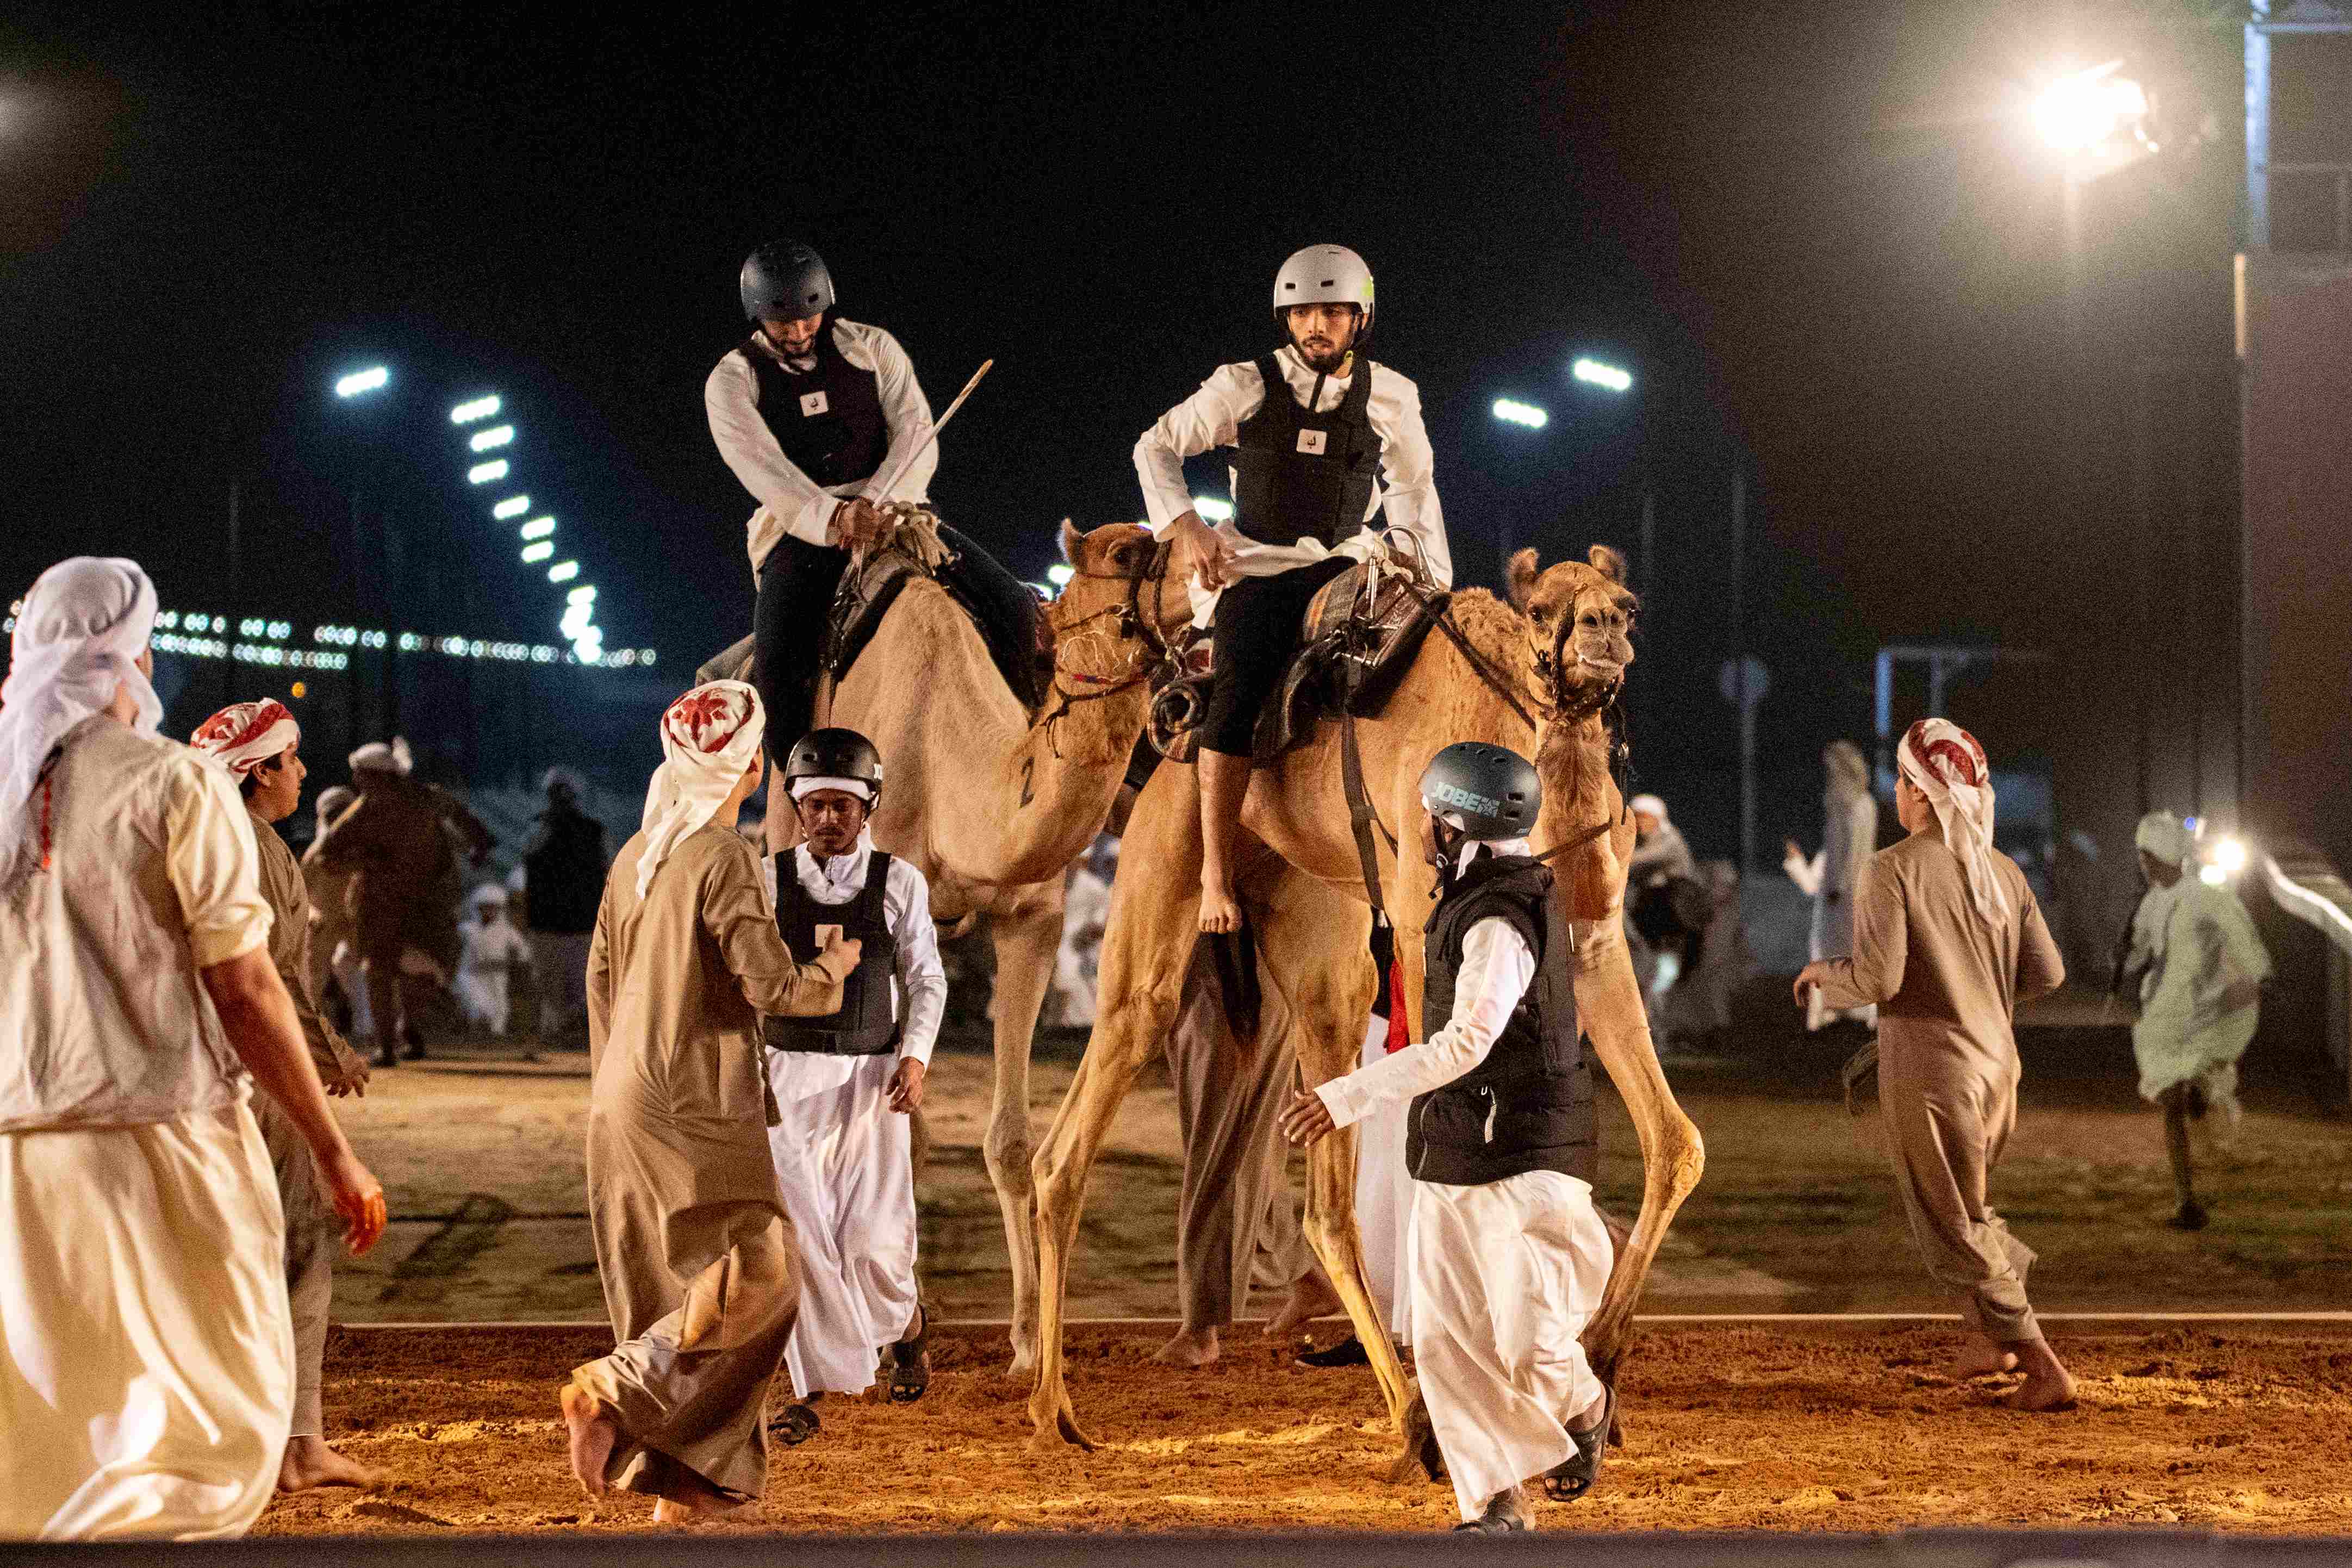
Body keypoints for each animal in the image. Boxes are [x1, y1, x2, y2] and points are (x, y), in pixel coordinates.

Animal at [827, 514, 1194, 1373]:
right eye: (1126, 552)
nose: (1210, 556)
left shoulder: (1030, 920)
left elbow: (1008, 1140)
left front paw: (1028, 1338)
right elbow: (897, 1133)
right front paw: (899, 1331)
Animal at [1030, 543, 1712, 1457]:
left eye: (1628, 603)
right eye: (1541, 609)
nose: (1601, 629)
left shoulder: (1595, 938)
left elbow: (1677, 1143)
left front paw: (1599, 1366)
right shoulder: (1429, 939)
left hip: (1330, 948)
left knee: (1327, 1192)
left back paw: (1407, 1408)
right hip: (1163, 891)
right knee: (1078, 1125)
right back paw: (1053, 1408)